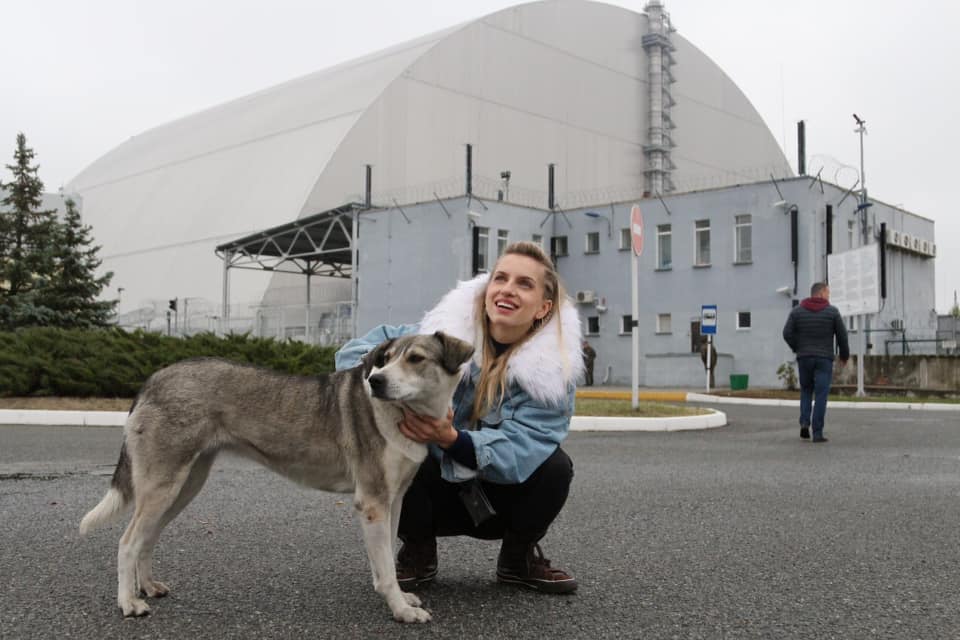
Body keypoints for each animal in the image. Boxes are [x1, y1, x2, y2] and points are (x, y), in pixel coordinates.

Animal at [82, 332, 476, 624]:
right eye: (385, 359)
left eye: (416, 359)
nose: (376, 381)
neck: (402, 414)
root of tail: (152, 380)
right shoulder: (373, 504)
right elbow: (385, 572)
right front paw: (402, 611)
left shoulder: (394, 500)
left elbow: (388, 566)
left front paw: (403, 598)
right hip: (163, 488)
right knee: (127, 542)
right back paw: (129, 603)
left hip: (183, 488)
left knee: (146, 539)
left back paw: (148, 587)